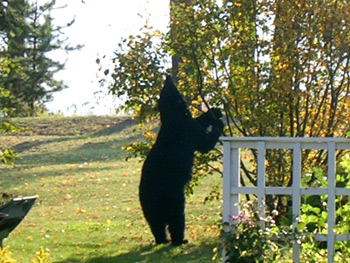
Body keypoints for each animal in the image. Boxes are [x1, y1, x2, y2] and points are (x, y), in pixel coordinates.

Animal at [138, 75, 223, 246]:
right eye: (168, 86)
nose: (168, 75)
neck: (173, 116)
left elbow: (199, 121)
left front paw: (215, 111)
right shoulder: (186, 130)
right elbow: (203, 143)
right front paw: (218, 124)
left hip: (149, 207)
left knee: (156, 224)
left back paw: (161, 239)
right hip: (173, 197)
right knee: (177, 219)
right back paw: (180, 239)